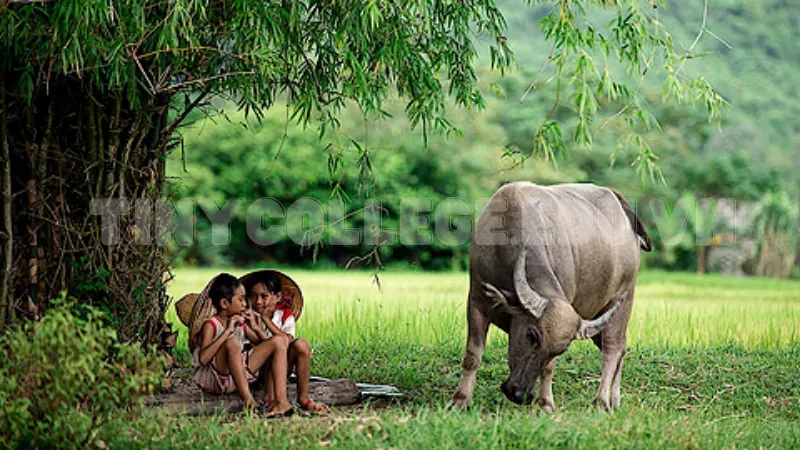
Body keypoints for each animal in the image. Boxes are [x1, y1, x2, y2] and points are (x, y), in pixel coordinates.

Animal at [450, 182, 648, 412]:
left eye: (561, 350)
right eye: (531, 335)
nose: (520, 395)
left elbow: (548, 369)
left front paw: (545, 403)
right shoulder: (476, 302)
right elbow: (472, 356)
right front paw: (460, 400)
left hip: (622, 301)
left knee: (613, 348)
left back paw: (601, 401)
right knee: (621, 348)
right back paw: (615, 399)